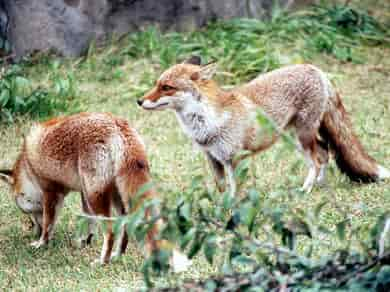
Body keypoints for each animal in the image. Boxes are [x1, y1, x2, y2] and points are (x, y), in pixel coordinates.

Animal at [0, 113, 171, 266]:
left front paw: (41, 243)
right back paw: (117, 255)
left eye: (27, 210)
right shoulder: (83, 192)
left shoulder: (51, 190)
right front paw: (85, 241)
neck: (29, 166)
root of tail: (118, 126)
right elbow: (89, 220)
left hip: (96, 195)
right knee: (125, 226)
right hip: (114, 196)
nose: (34, 230)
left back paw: (103, 261)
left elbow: (49, 223)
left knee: (110, 233)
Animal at [138, 55, 390, 196]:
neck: (207, 123)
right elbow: (221, 189)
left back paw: (306, 189)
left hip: (301, 137)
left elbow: (236, 190)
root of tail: (315, 69)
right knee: (324, 152)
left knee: (318, 159)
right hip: (297, 137)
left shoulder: (235, 159)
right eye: (156, 84)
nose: (139, 101)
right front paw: (220, 209)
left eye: (167, 87)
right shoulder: (213, 158)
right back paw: (319, 184)